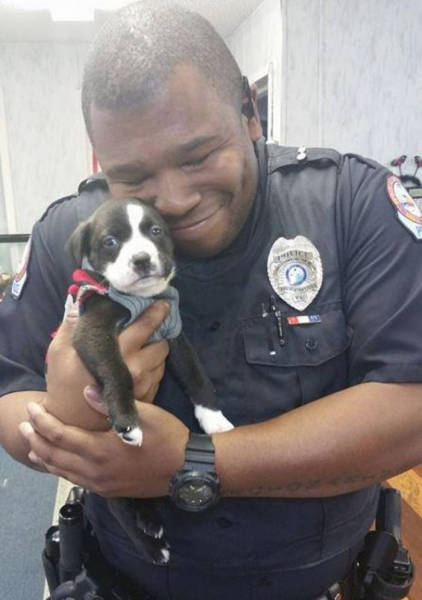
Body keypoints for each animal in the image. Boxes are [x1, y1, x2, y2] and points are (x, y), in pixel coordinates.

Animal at [65, 196, 234, 564]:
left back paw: (150, 519)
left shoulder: (174, 332)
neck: (142, 299)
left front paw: (214, 419)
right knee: (118, 509)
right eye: (110, 242)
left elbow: (197, 375)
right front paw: (128, 419)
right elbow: (118, 370)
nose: (142, 259)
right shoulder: (93, 331)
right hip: (108, 475)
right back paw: (151, 548)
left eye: (155, 231)